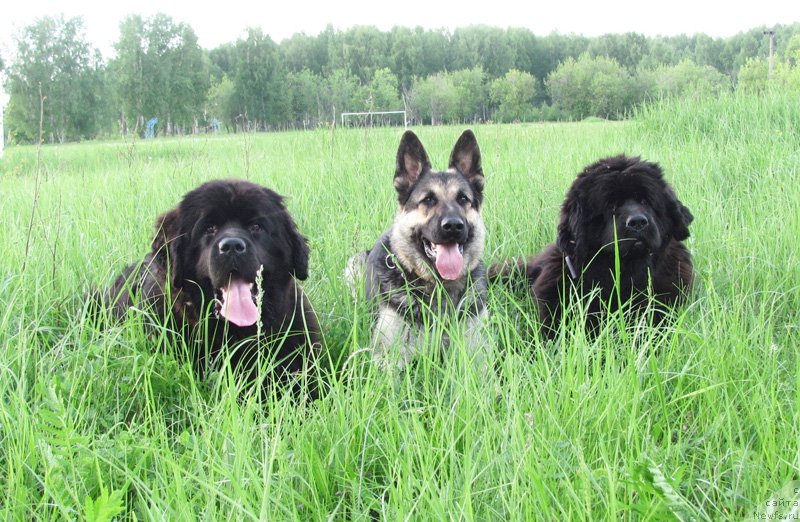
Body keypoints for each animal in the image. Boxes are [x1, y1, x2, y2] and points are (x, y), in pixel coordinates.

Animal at [350, 129, 488, 366]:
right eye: (429, 200)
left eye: (463, 199)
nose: (453, 226)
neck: (439, 288)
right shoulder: (385, 358)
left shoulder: (477, 354)